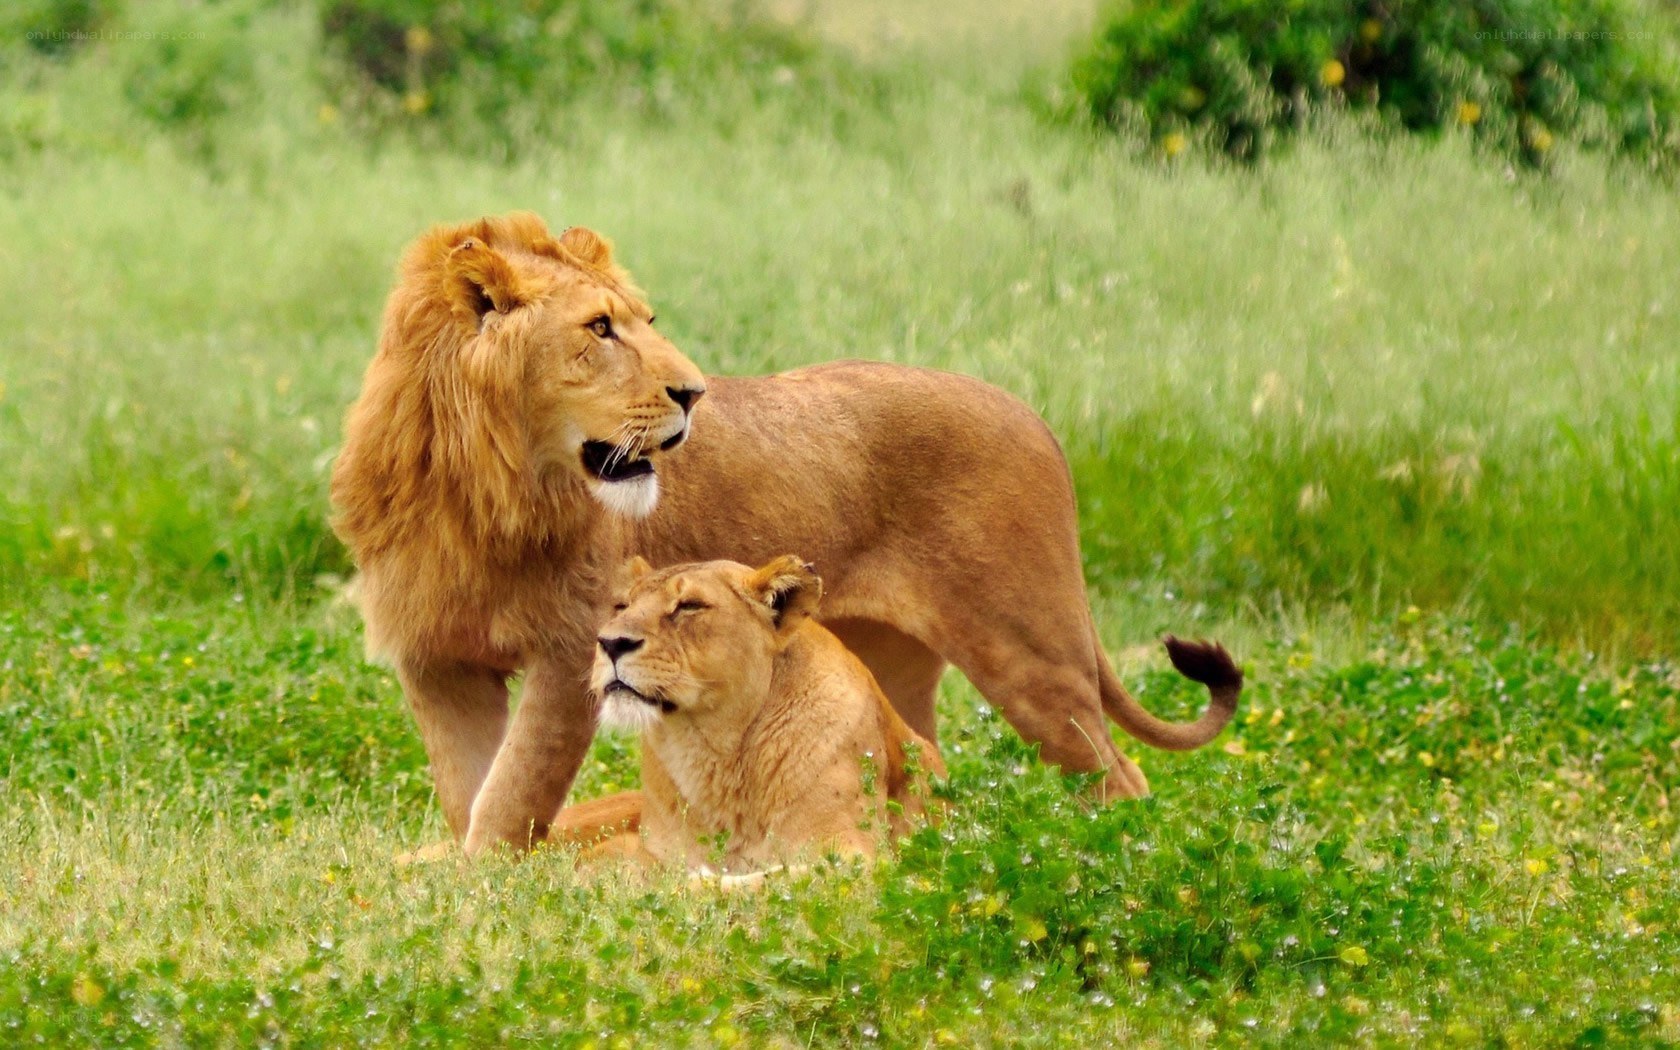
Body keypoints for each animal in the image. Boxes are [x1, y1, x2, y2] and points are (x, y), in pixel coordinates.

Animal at [542, 555, 945, 877]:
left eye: (689, 606)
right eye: (621, 606)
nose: (610, 643)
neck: (715, 754)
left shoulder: (852, 854)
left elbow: (776, 878)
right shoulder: (648, 848)